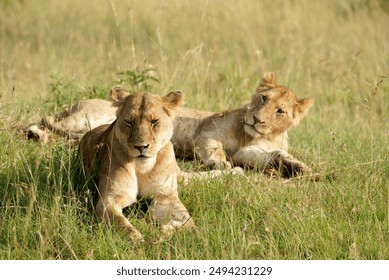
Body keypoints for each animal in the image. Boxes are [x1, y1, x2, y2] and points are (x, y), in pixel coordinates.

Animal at [77, 89, 196, 241]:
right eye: (129, 122)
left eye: (154, 122)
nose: (141, 147)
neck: (142, 168)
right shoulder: (109, 199)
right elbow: (120, 223)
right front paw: (137, 239)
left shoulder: (165, 195)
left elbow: (188, 221)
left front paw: (166, 231)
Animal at [171, 72, 314, 177]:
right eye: (264, 98)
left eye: (280, 111)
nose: (256, 119)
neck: (246, 135)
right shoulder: (209, 131)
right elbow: (214, 148)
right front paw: (219, 163)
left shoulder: (241, 154)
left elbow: (270, 153)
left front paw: (296, 166)